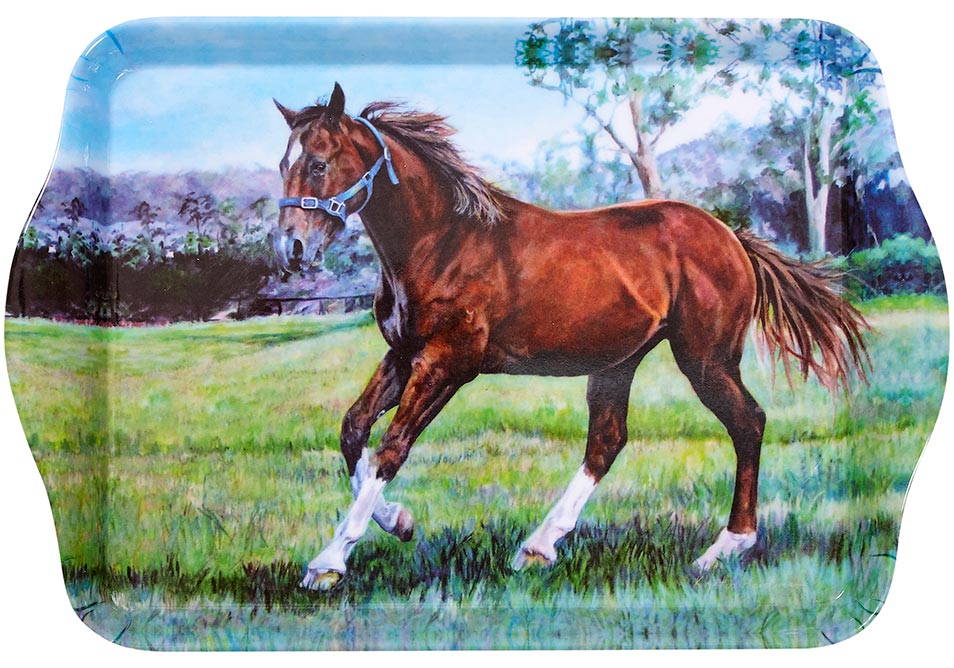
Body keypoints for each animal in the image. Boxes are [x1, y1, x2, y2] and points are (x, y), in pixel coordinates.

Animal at [273, 83, 869, 590]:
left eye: (319, 163)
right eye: (283, 164)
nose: (292, 249)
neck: (443, 240)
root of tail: (732, 238)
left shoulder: (447, 363)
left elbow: (390, 450)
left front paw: (328, 562)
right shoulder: (403, 356)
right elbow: (354, 432)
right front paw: (399, 522)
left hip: (705, 359)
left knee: (748, 423)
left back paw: (722, 549)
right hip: (618, 363)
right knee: (607, 441)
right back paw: (538, 547)